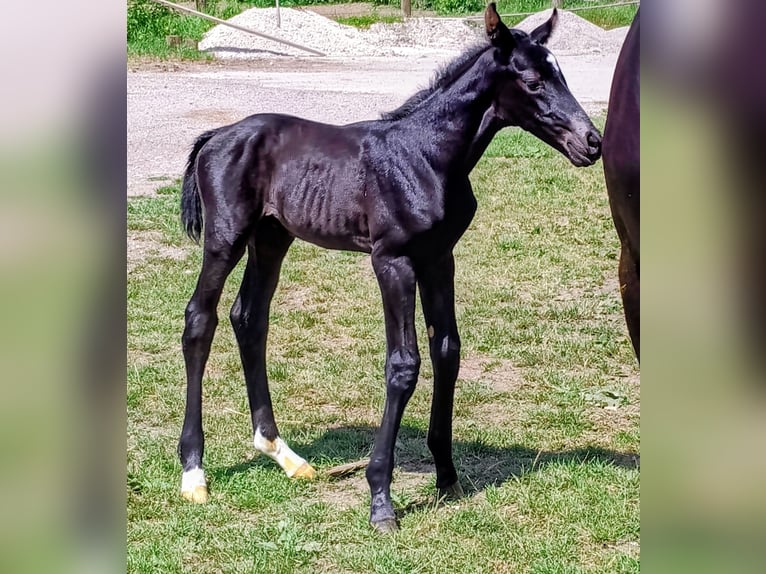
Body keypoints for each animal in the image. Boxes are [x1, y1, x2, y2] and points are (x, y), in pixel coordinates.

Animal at [177, 3, 602, 532]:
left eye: (560, 74)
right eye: (532, 81)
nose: (592, 142)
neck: (426, 156)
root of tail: (216, 136)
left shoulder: (439, 257)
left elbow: (447, 350)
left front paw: (447, 476)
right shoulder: (392, 260)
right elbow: (403, 363)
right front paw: (381, 498)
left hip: (272, 238)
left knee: (249, 319)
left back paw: (284, 455)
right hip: (226, 238)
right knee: (200, 320)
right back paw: (194, 474)